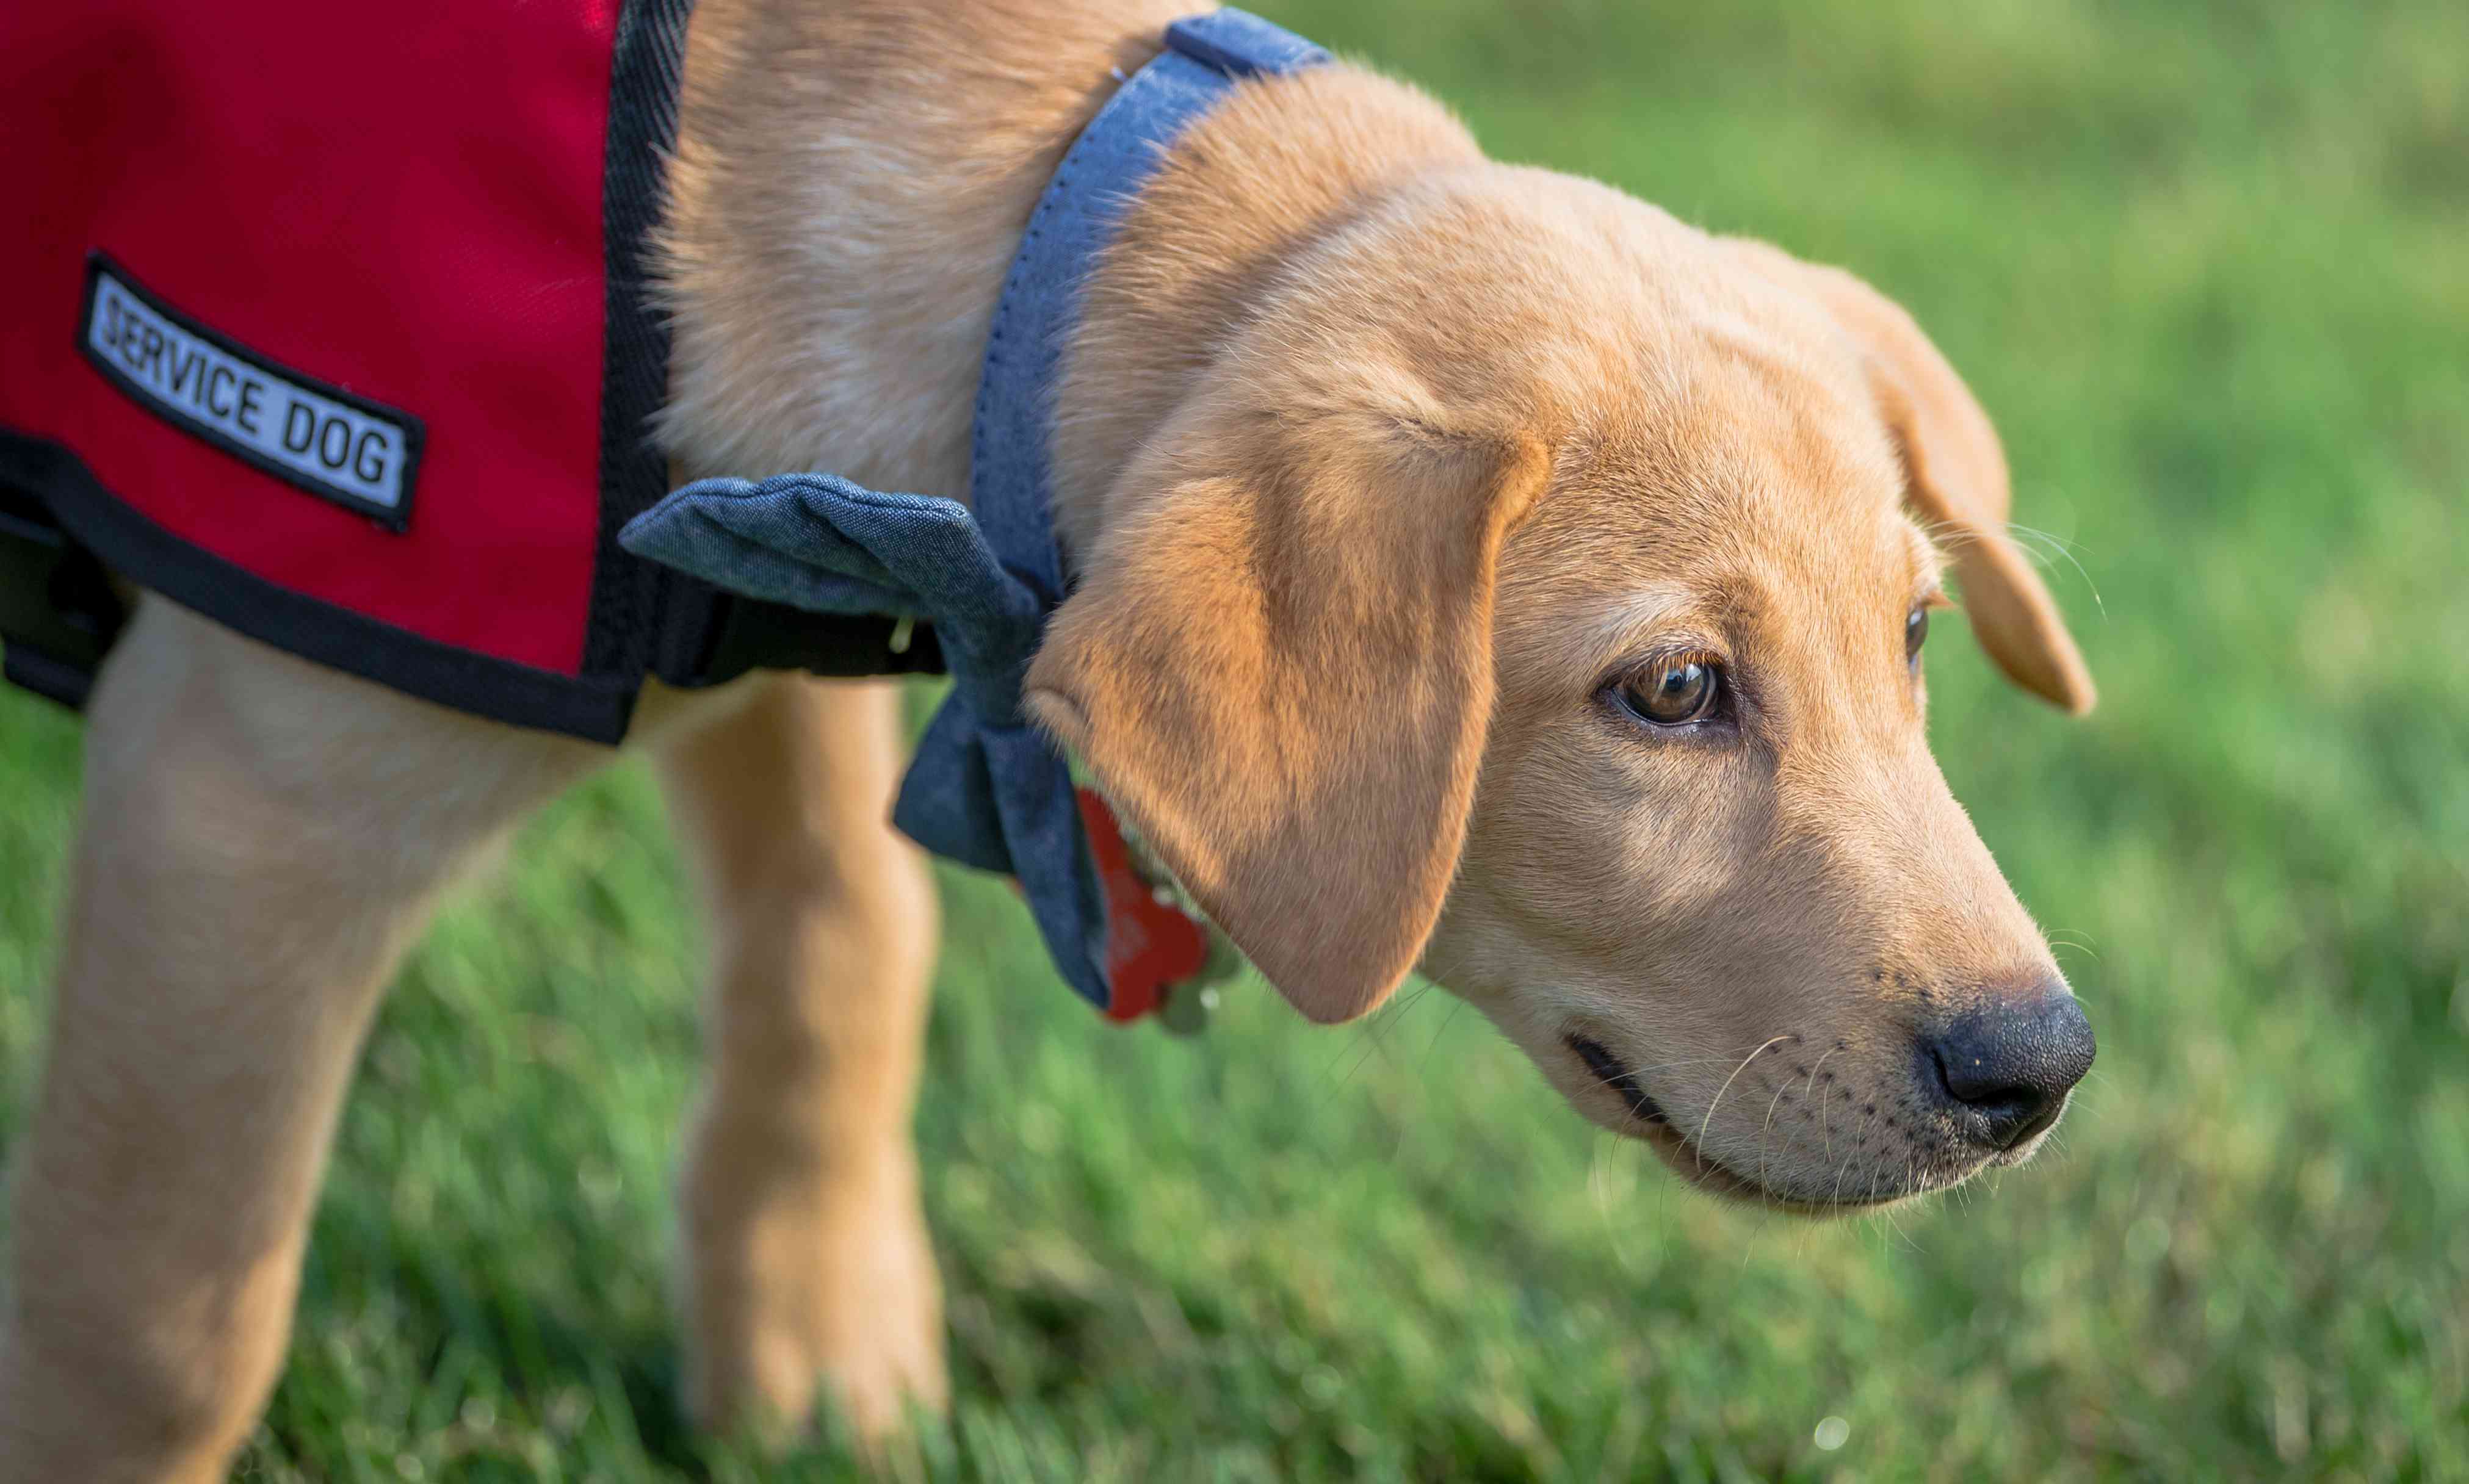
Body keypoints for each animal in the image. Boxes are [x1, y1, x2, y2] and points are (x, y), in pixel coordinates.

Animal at [0, 0, 2094, 1471]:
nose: (2040, 1067)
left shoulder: (784, 589)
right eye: (1667, 692)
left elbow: (842, 944)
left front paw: (812, 1353)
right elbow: (161, 1321)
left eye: (1913, 635)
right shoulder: (242, 796)